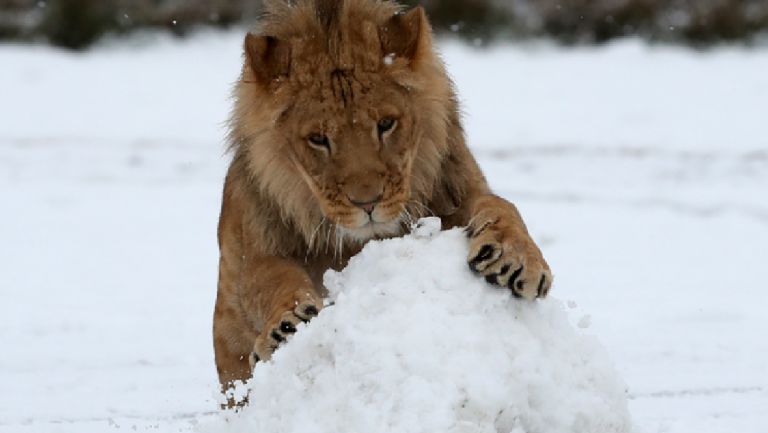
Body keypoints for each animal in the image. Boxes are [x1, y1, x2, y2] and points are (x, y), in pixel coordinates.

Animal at [214, 0, 552, 394]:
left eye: (386, 124)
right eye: (318, 139)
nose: (367, 203)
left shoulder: (458, 193)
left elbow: (500, 205)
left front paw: (516, 258)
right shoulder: (254, 249)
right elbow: (268, 279)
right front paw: (288, 324)